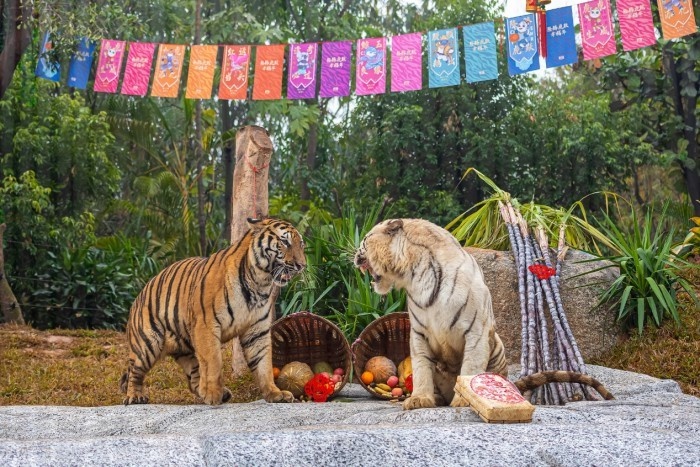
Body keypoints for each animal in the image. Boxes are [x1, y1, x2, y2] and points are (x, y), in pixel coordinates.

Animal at [119, 218, 304, 406]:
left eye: (301, 244)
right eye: (285, 242)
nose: (301, 265)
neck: (260, 282)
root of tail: (140, 293)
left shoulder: (257, 330)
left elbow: (263, 363)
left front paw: (275, 393)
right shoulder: (206, 324)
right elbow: (213, 360)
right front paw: (213, 394)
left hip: (186, 348)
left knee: (193, 378)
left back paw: (215, 392)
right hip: (147, 344)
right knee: (135, 372)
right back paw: (136, 396)